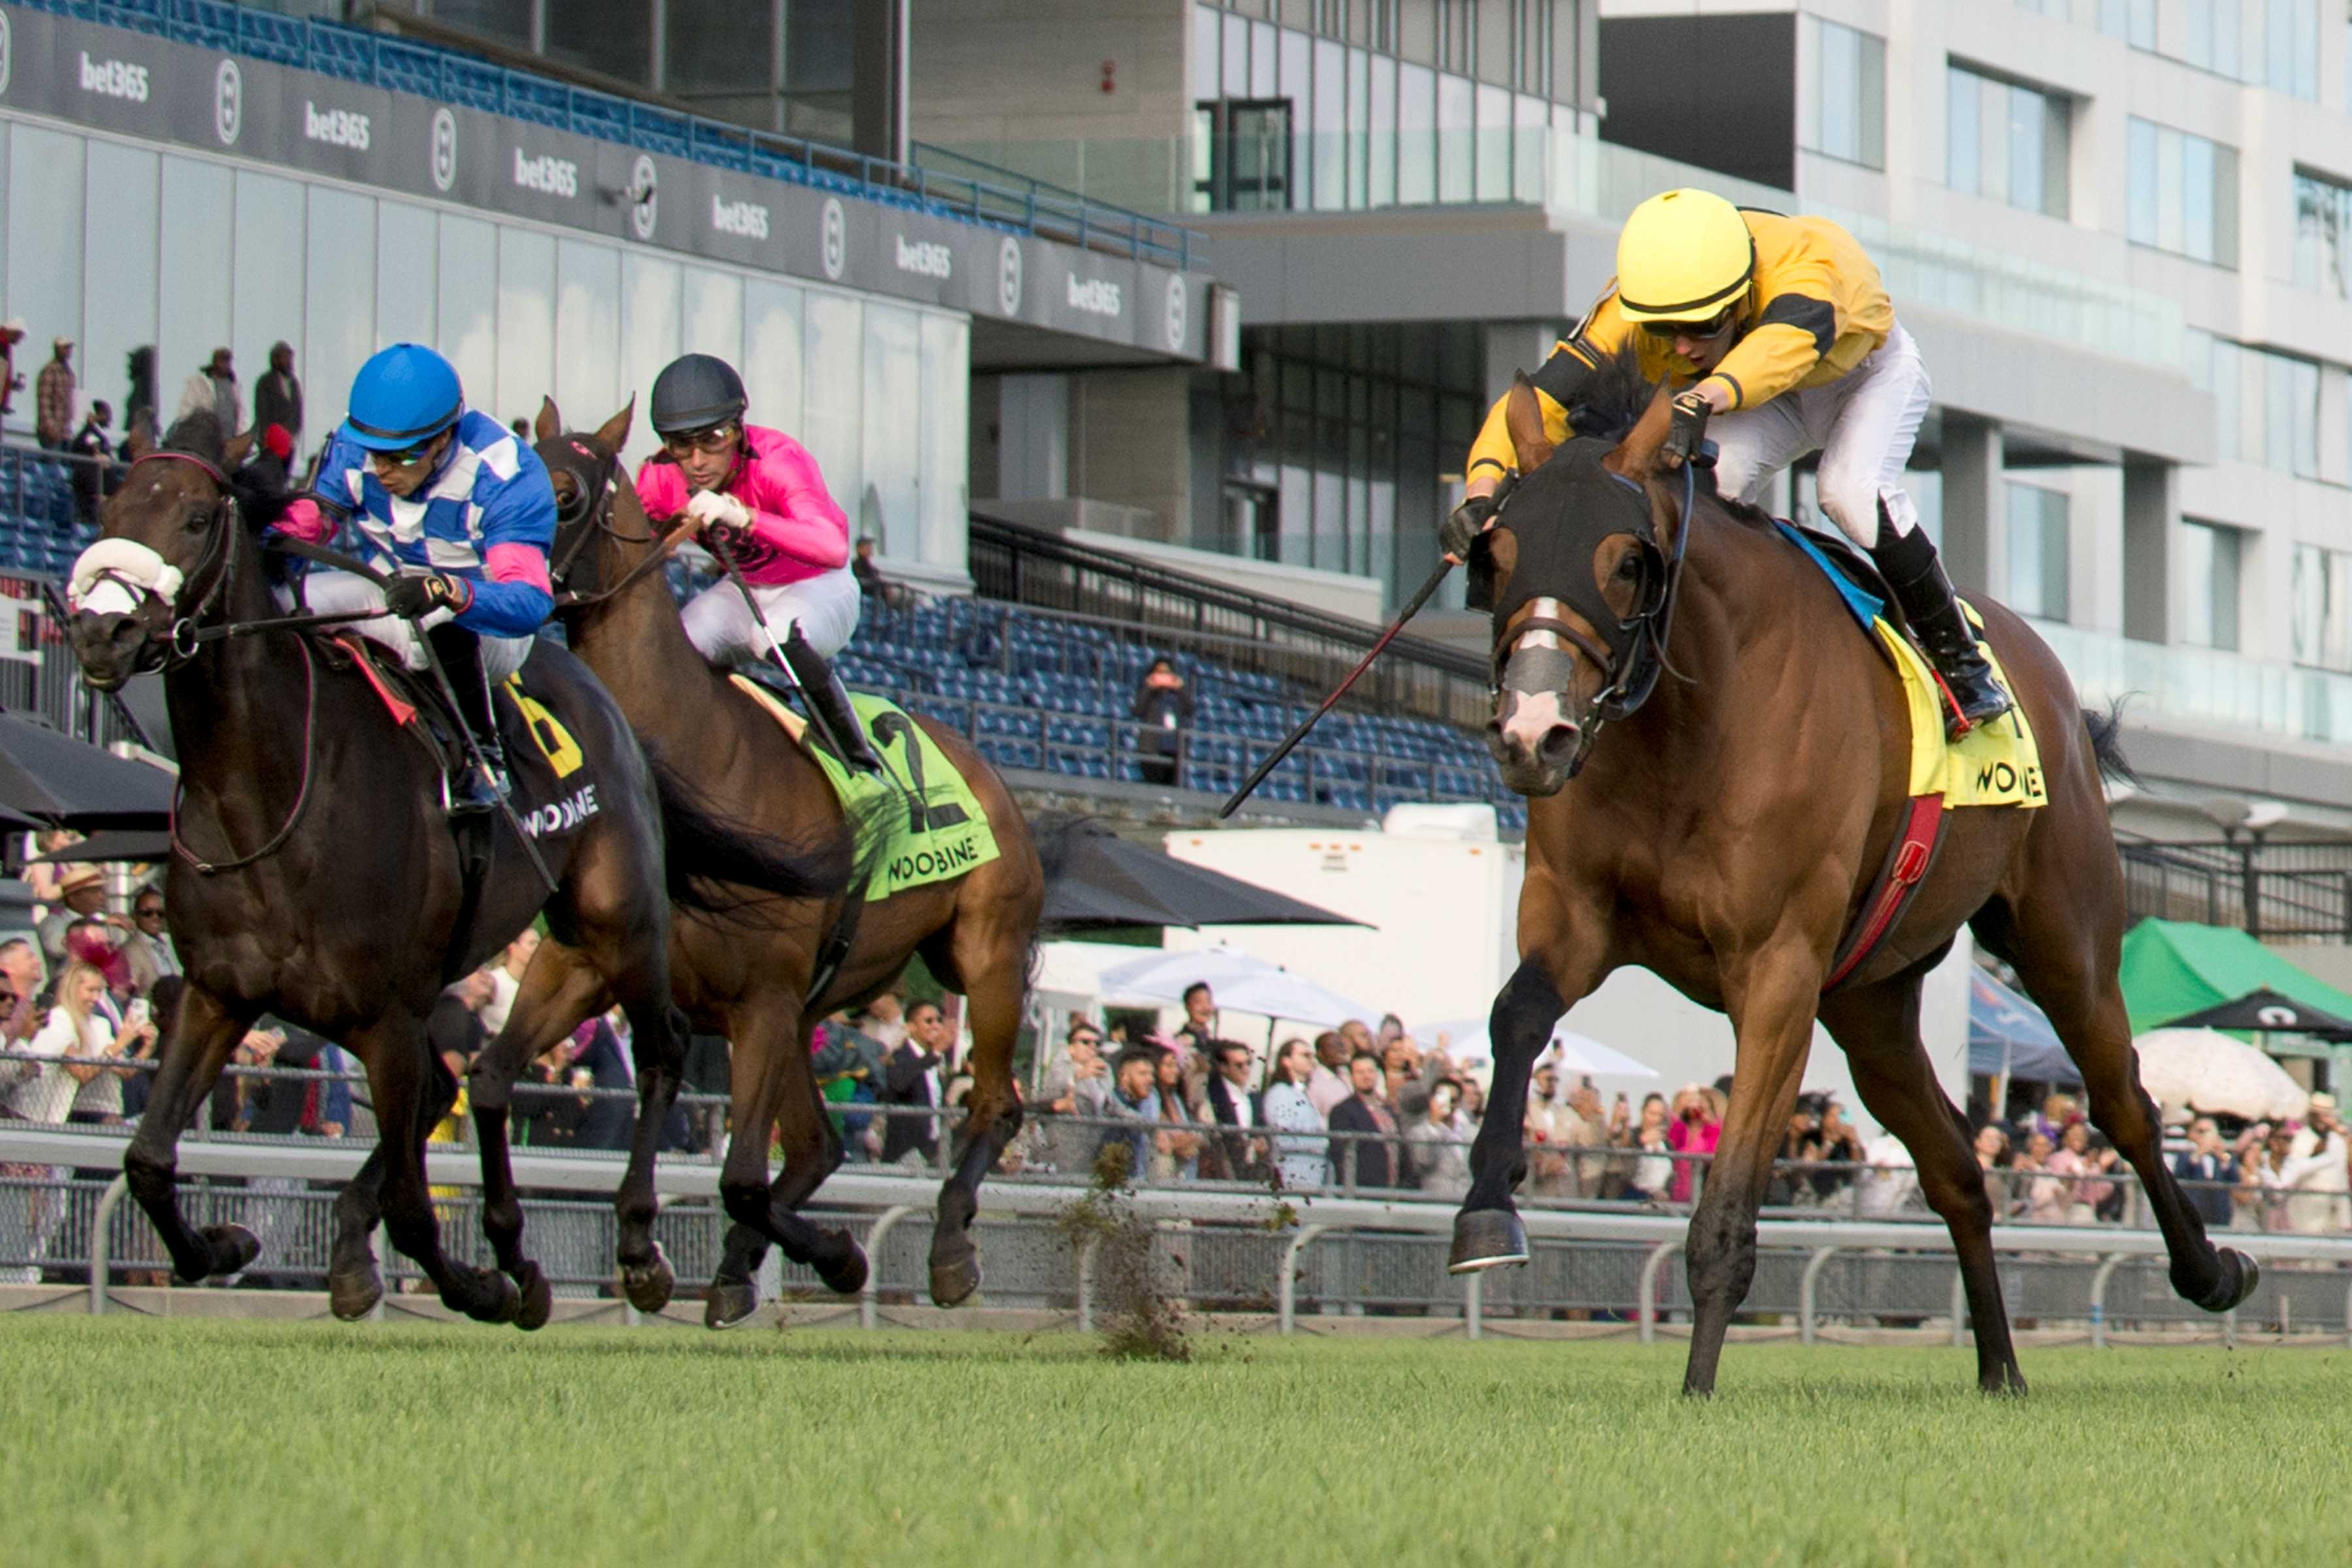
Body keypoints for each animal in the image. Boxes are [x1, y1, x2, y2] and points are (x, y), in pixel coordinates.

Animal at [67, 416, 847, 1326]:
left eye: (195, 520)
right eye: (110, 504)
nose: (101, 633)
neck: (266, 794)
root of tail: (604, 696)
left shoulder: (388, 1018)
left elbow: (412, 1208)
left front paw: (482, 1285)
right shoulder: (221, 992)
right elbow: (148, 1161)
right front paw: (224, 1246)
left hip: (618, 922)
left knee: (661, 1048)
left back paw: (639, 1247)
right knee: (468, 1087)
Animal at [472, 395, 1044, 1326]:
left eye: (561, 496)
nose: (489, 589)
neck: (695, 765)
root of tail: (986, 768)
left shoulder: (764, 998)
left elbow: (739, 1177)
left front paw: (840, 1258)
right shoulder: (587, 967)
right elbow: (492, 1080)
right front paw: (618, 1257)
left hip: (985, 955)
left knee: (995, 1105)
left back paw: (951, 1249)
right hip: (815, 1008)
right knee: (818, 1146)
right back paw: (741, 1267)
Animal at [1448, 355, 2258, 1401]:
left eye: (1626, 559)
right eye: (1498, 553)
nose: (1532, 733)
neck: (1691, 718)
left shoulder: (1777, 967)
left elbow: (1730, 1199)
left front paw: (1698, 1388)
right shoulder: (1576, 917)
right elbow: (1515, 1015)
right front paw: (1484, 1212)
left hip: (2066, 944)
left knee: (2126, 1104)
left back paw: (2211, 1272)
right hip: (1872, 1005)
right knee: (1957, 1167)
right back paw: (2001, 1368)